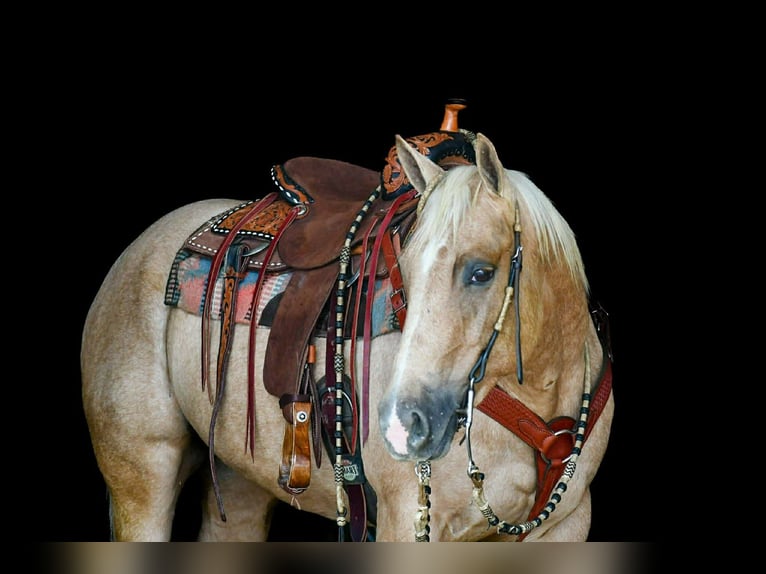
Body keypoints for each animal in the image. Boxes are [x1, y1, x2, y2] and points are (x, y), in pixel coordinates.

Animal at [81, 124, 614, 542]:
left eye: (481, 272)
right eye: (404, 275)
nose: (403, 424)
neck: (537, 397)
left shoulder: (567, 525)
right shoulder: (409, 521)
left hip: (240, 482)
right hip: (141, 475)